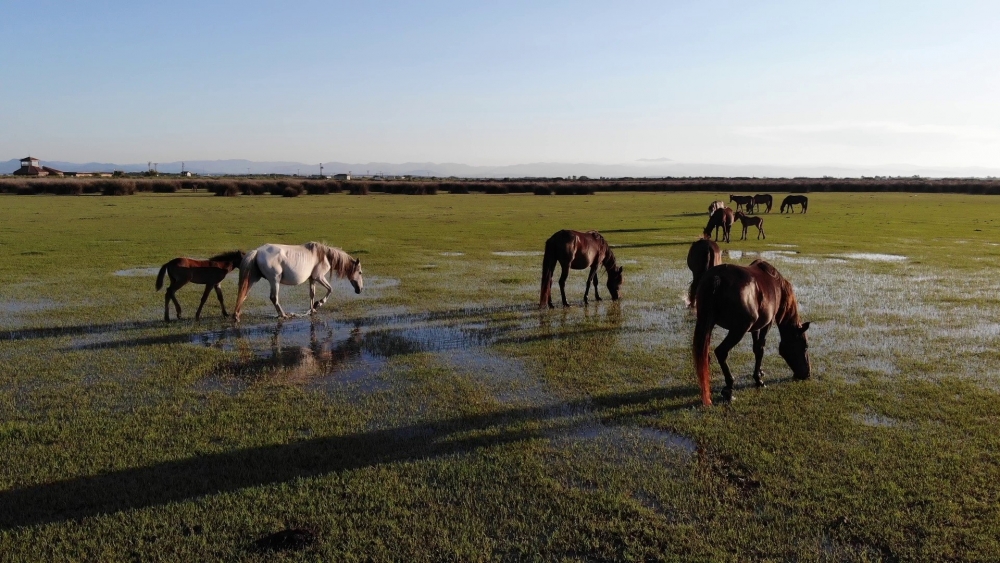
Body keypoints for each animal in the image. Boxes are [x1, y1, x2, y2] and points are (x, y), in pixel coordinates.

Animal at [233, 241, 364, 322]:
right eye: (360, 272)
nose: (360, 289)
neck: (325, 256)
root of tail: (257, 251)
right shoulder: (319, 277)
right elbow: (330, 289)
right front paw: (319, 303)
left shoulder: (312, 279)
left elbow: (312, 294)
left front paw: (312, 309)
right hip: (274, 280)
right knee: (274, 298)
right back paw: (283, 315)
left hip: (253, 279)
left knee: (244, 294)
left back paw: (237, 315)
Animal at [696, 260, 812, 406]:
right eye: (805, 346)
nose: (807, 374)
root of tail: (718, 277)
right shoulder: (767, 324)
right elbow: (760, 349)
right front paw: (758, 380)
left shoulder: (756, 327)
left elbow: (756, 349)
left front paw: (760, 372)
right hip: (738, 330)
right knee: (721, 352)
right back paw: (729, 388)